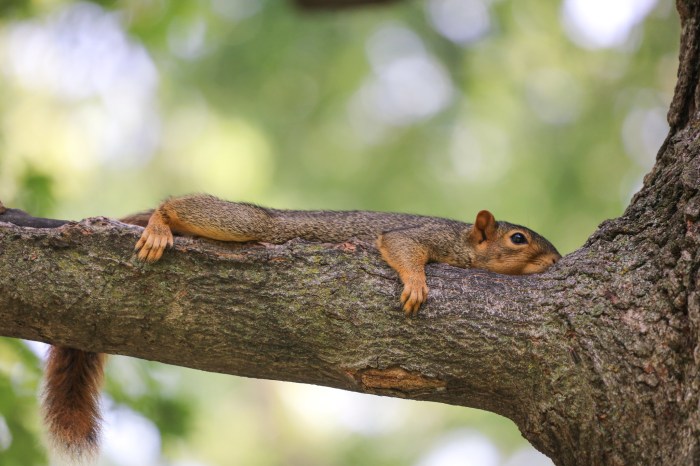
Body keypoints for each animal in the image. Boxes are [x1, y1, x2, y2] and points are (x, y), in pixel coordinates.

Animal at [40, 193, 561, 460]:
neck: (464, 243)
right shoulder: (420, 237)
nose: (557, 260)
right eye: (518, 239)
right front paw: (415, 283)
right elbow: (402, 249)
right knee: (180, 204)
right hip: (249, 223)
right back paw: (160, 223)